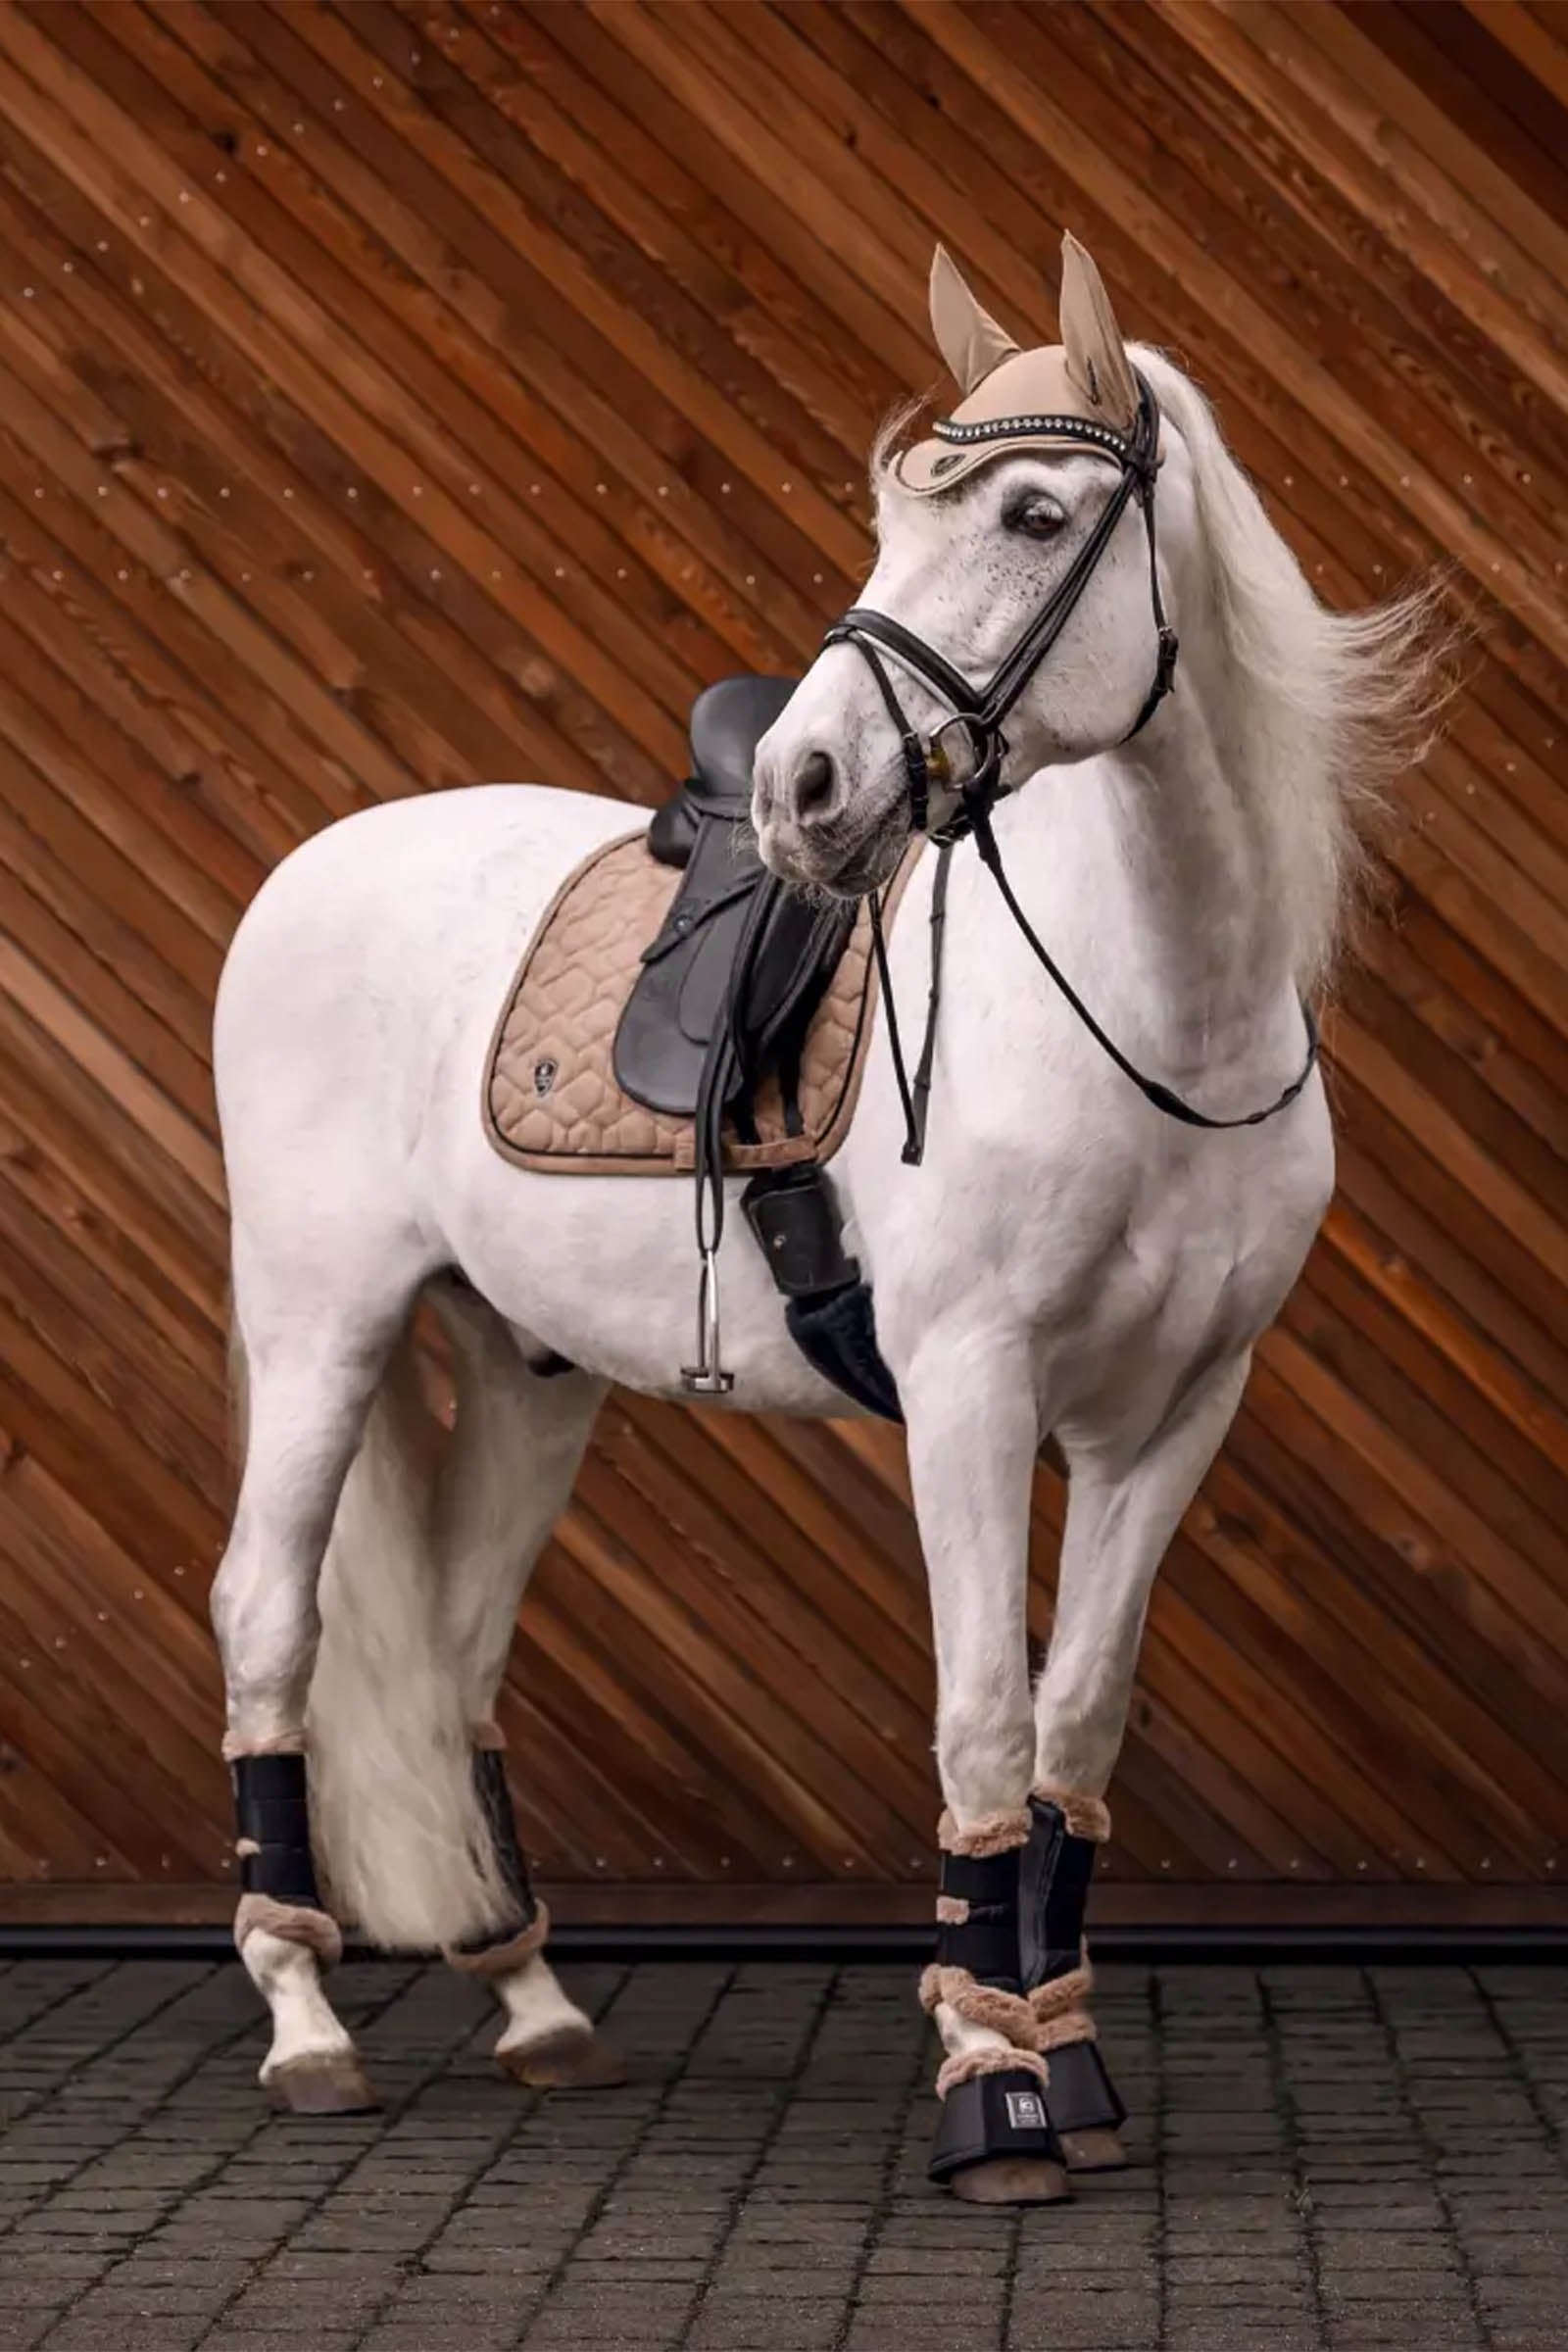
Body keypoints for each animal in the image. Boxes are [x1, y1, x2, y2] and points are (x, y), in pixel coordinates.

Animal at [209, 232, 1441, 2202]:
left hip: (529, 1368)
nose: (804, 791)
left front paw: (1068, 2065)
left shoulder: (1179, 1414)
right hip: (321, 1321)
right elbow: (984, 1712)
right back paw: (308, 2025)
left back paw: (535, 2004)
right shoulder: (970, 1391)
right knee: (270, 1614)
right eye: (893, 516)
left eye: (1033, 511)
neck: (1151, 1017)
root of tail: (315, 868)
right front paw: (991, 2093)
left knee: (458, 1654)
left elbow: (1078, 1724)